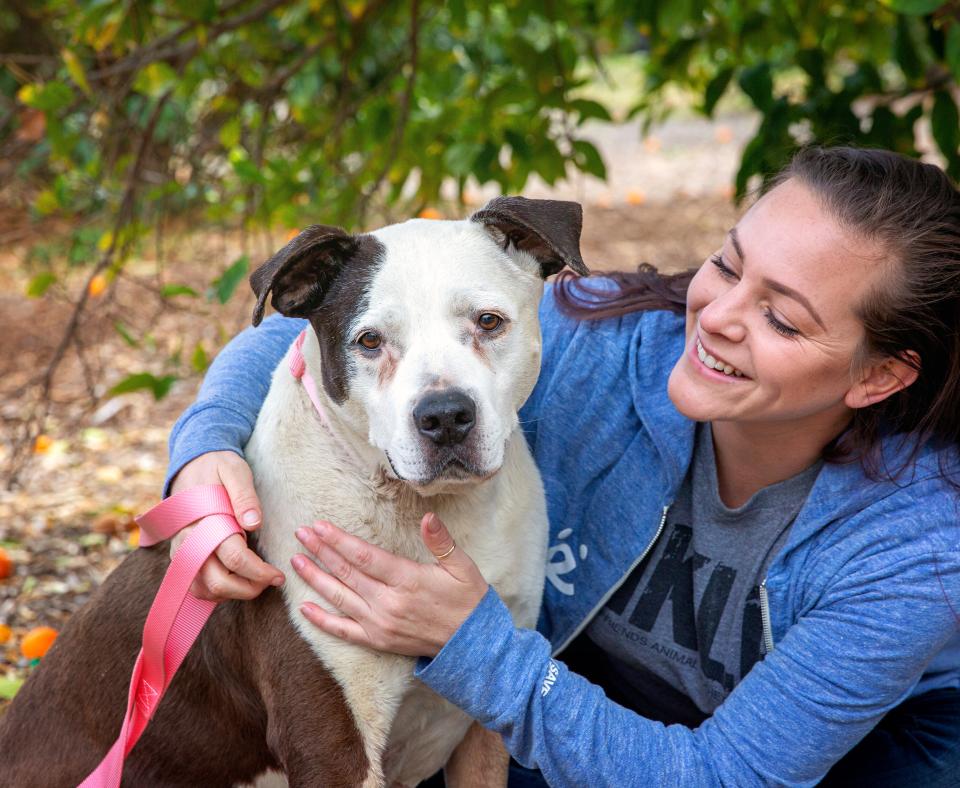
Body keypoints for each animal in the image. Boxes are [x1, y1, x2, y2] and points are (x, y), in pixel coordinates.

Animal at [0, 197, 584, 788]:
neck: (425, 510)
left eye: (488, 322)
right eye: (369, 341)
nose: (444, 416)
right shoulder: (331, 744)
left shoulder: (485, 728)